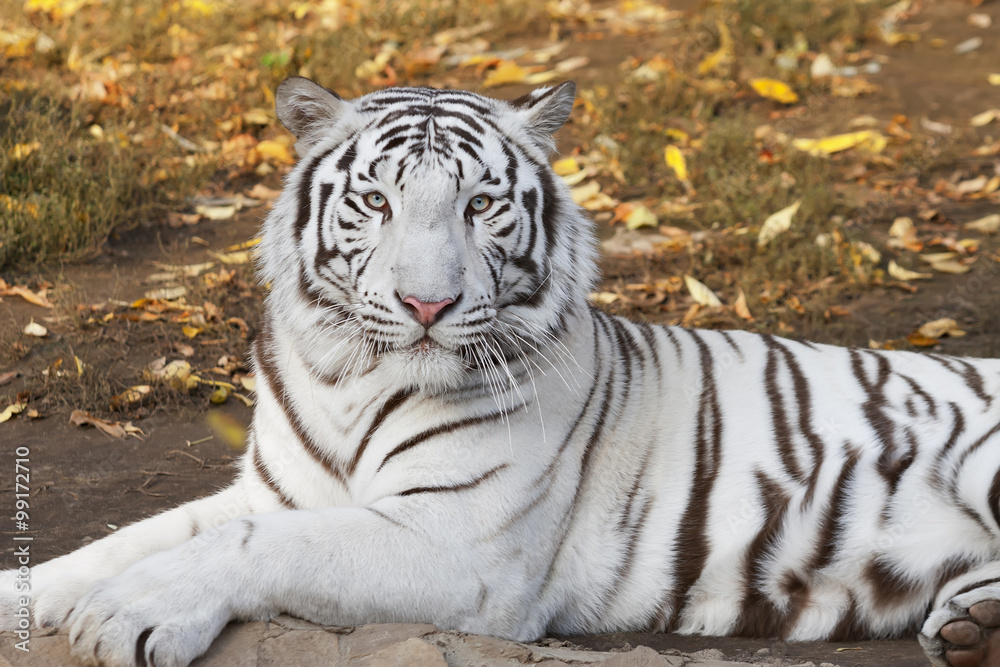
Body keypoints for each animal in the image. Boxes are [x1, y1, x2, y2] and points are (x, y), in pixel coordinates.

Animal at [1, 76, 999, 667]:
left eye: (480, 205)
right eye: (377, 201)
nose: (427, 305)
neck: (348, 378)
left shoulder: (459, 542)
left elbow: (256, 548)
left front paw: (129, 614)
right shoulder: (276, 489)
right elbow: (127, 538)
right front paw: (35, 593)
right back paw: (969, 625)